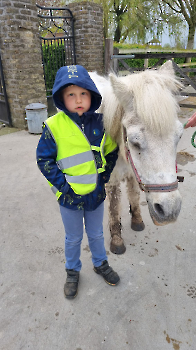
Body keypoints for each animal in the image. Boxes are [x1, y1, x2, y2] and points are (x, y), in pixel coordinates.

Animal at [89, 61, 183, 253]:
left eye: (179, 136)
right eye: (135, 142)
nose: (169, 211)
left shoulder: (133, 174)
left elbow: (133, 194)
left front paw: (137, 220)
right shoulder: (112, 179)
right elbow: (114, 206)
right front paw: (117, 239)